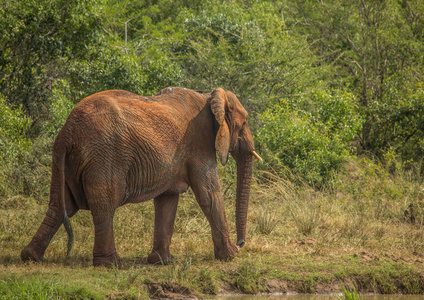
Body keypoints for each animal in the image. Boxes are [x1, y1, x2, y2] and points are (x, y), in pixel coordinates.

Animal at [23, 86, 264, 268]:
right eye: (244, 123)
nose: (242, 243)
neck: (209, 96)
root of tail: (67, 131)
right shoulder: (199, 142)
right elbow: (209, 195)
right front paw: (231, 256)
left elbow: (168, 200)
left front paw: (162, 261)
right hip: (104, 156)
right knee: (104, 205)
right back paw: (112, 264)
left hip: (64, 161)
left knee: (61, 205)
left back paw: (30, 257)